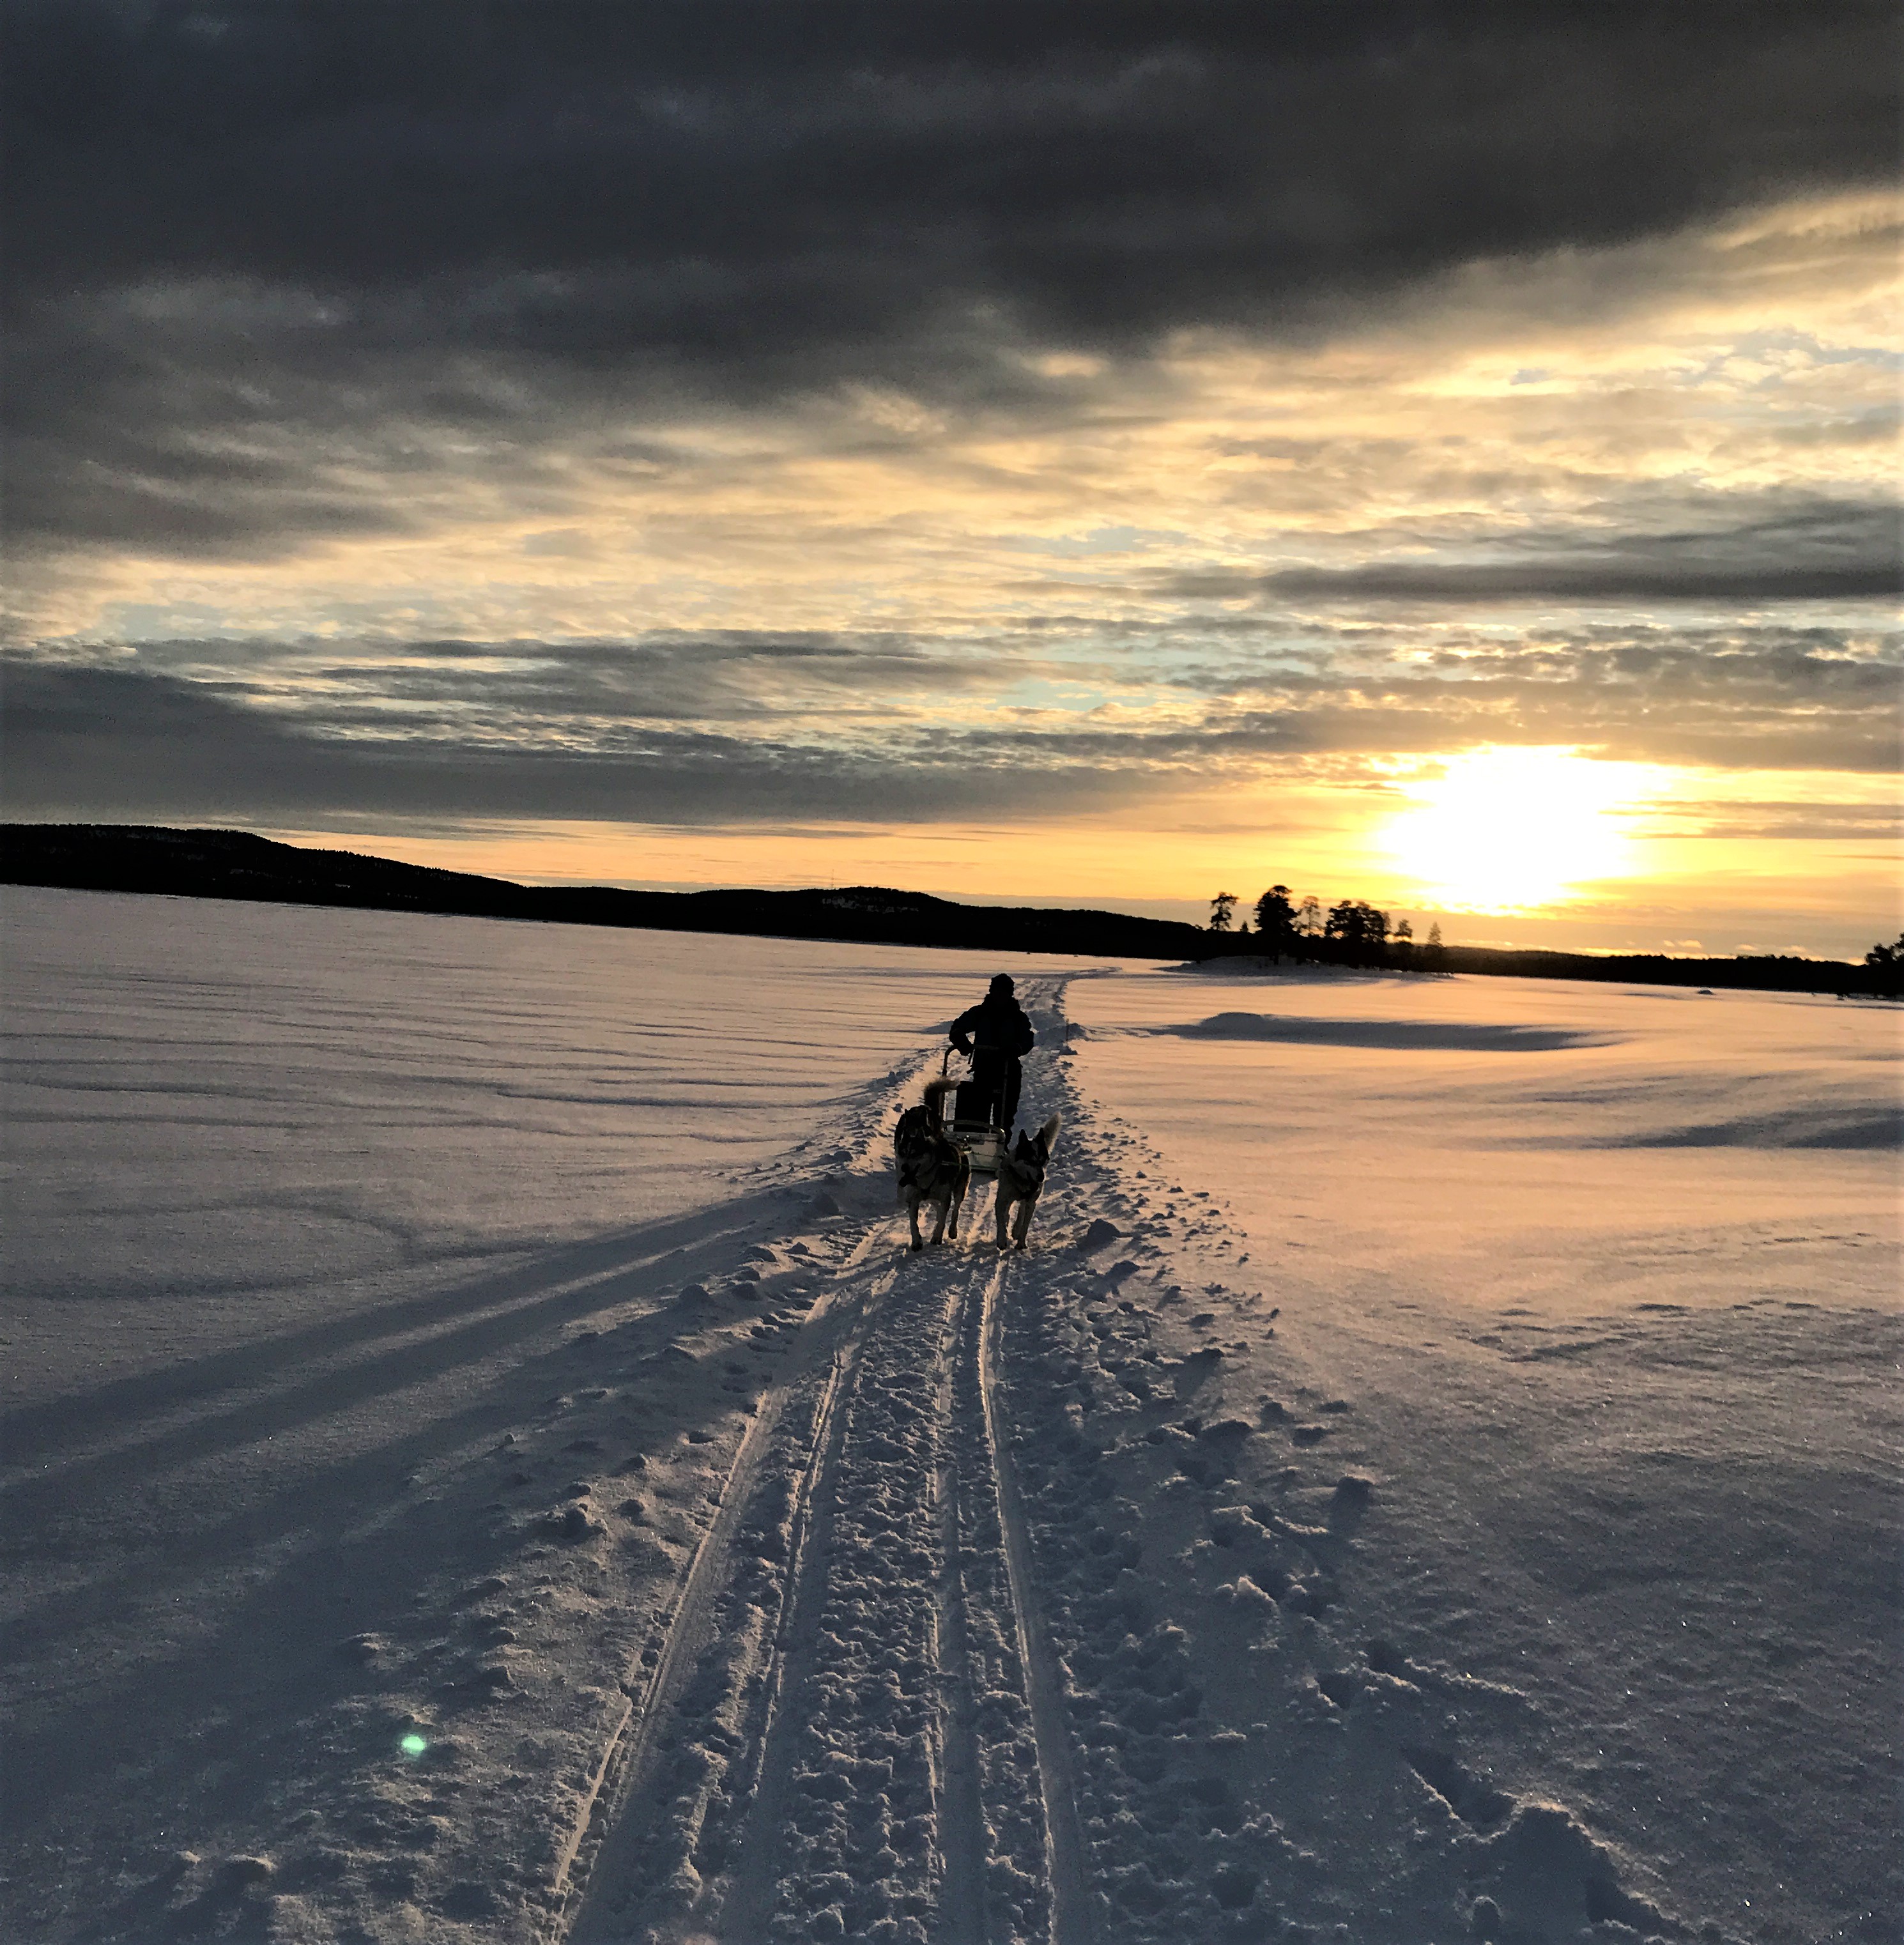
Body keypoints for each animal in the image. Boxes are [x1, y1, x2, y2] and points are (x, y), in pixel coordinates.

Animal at [995, 1120, 1057, 1252]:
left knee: (1021, 1212)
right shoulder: (1002, 1200)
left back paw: (1015, 1231)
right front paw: (1002, 1240)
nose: (1041, 1177)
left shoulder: (1031, 1203)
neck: (1021, 1180)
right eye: (1031, 1161)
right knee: (1007, 1213)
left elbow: (1025, 1225)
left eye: (1043, 1161)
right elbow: (1001, 1221)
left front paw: (1021, 1243)